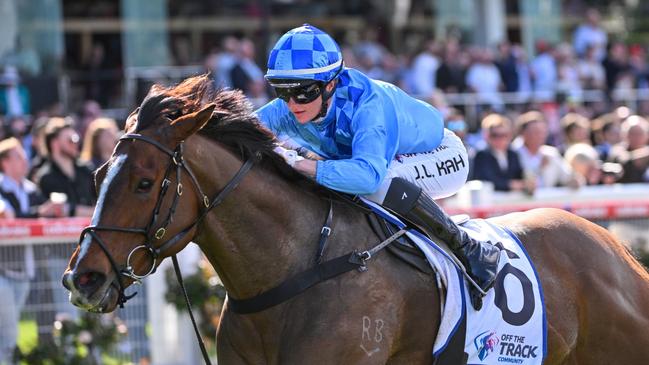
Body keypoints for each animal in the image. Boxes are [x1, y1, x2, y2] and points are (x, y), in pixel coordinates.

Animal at [63, 75, 648, 362]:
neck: (296, 270)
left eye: (144, 182)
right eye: (97, 176)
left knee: (394, 182)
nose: (82, 278)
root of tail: (613, 248)